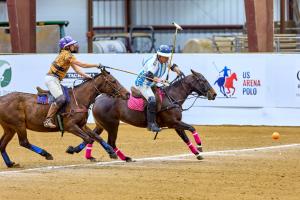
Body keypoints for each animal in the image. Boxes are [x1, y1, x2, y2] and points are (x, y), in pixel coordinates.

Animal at [0, 69, 129, 167]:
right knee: (24, 142)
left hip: (9, 128)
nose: (127, 94)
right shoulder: (70, 126)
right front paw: (73, 150)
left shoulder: (82, 125)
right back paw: (46, 154)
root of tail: (2, 99)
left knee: (2, 145)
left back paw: (10, 163)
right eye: (113, 81)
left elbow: (96, 137)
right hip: (19, 125)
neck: (78, 99)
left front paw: (111, 151)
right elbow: (88, 138)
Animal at [68, 69, 216, 162]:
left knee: (93, 137)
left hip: (101, 124)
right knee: (109, 141)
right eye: (203, 80)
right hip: (112, 124)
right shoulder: (173, 122)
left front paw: (197, 153)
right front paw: (200, 146)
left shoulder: (176, 124)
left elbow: (185, 138)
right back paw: (124, 157)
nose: (214, 94)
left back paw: (81, 153)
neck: (172, 97)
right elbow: (192, 128)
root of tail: (97, 99)